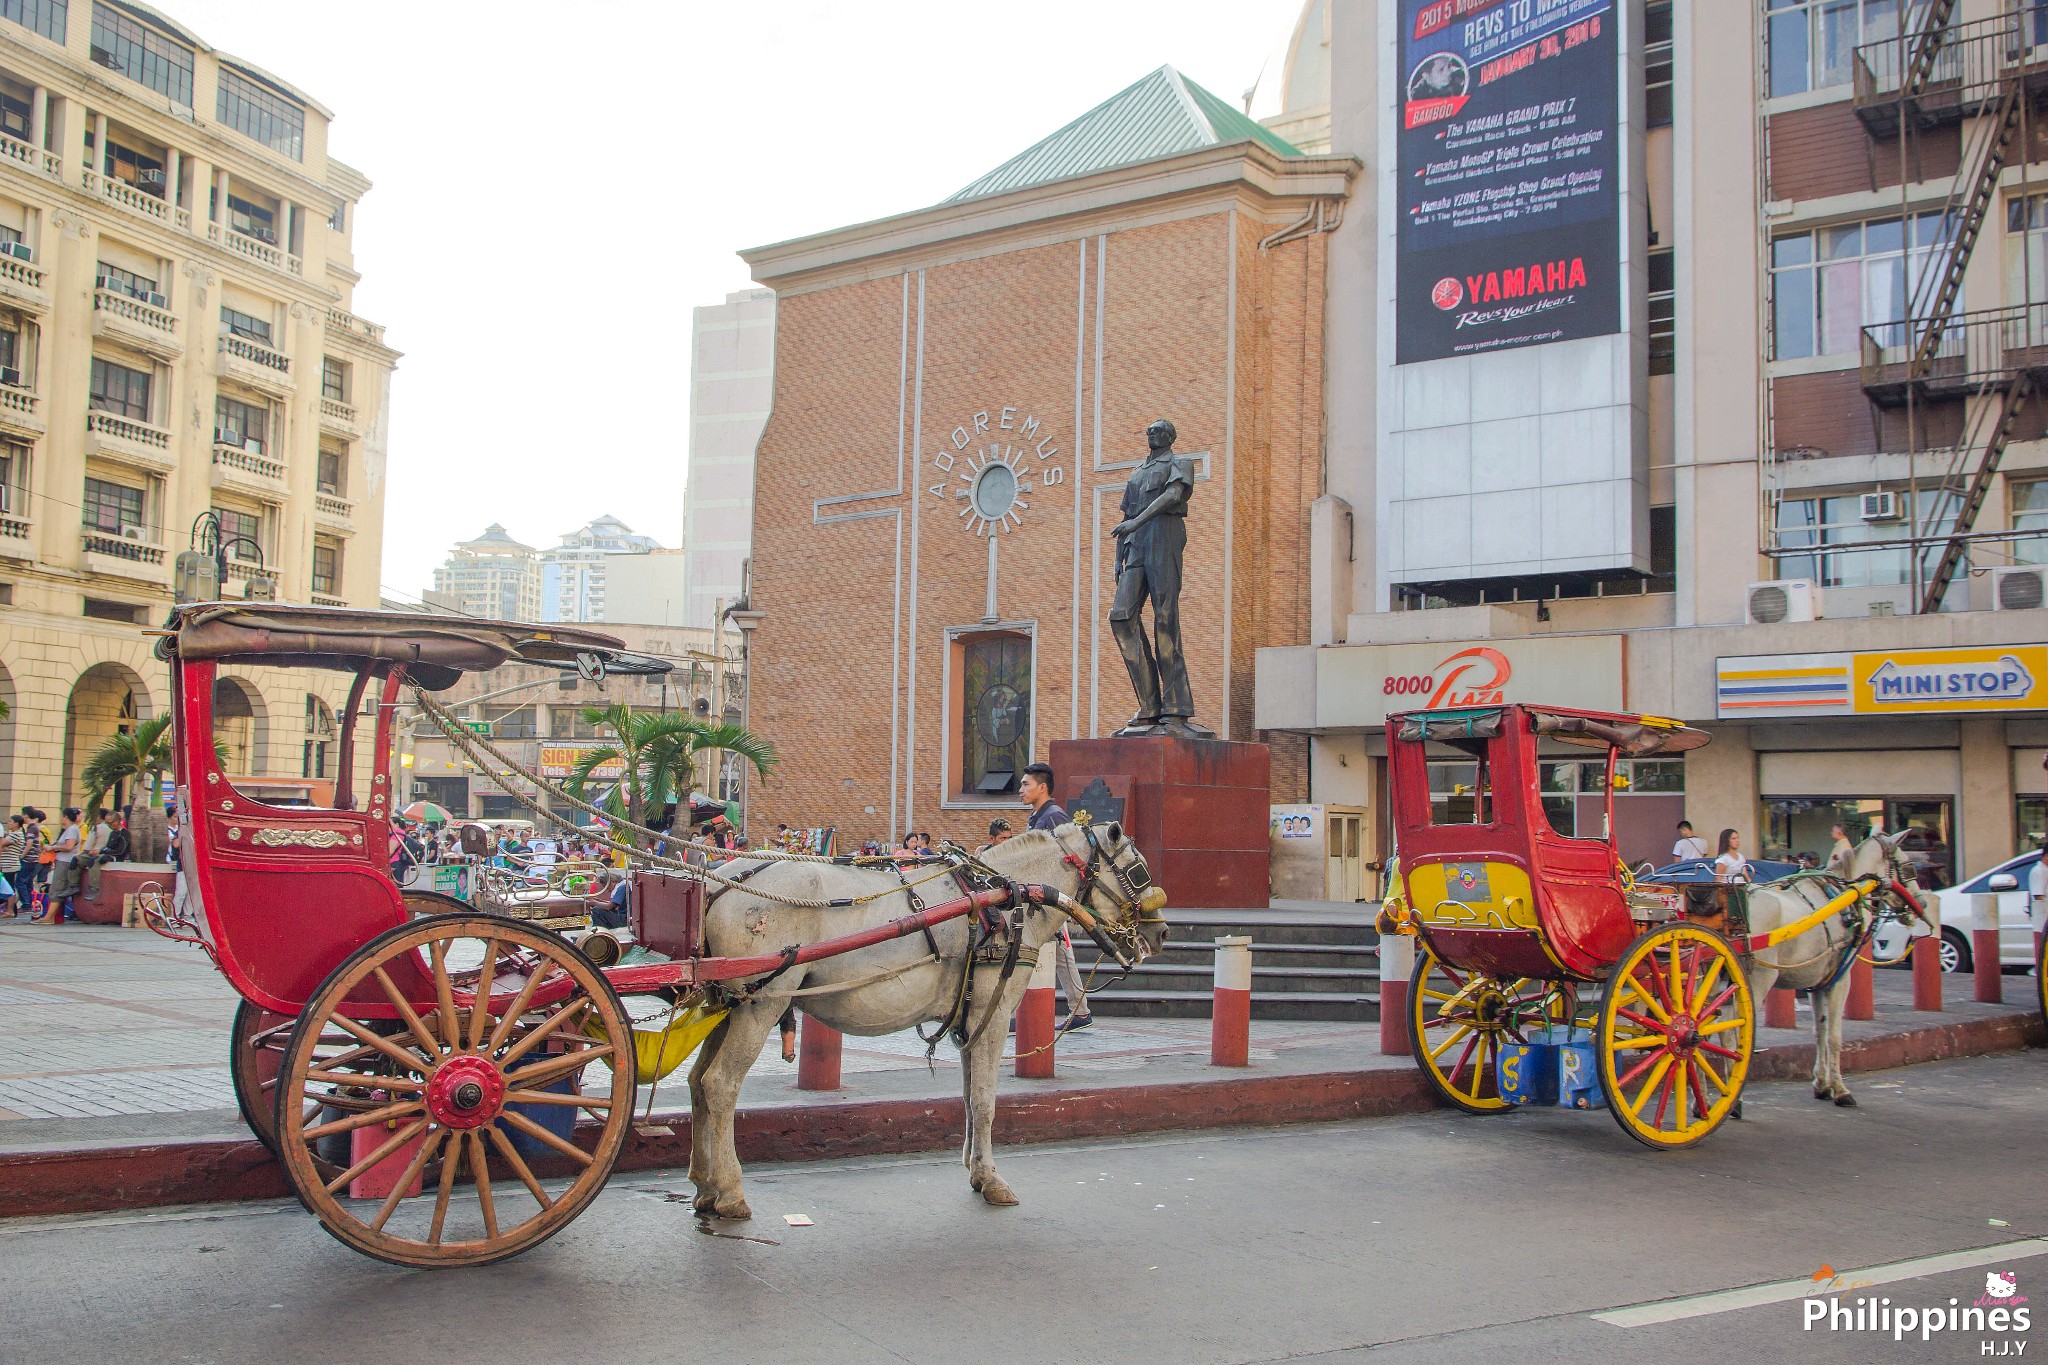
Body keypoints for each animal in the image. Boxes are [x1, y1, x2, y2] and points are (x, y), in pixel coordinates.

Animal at [688, 822, 1163, 1219]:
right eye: (1138, 871)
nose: (1160, 933)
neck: (1005, 897)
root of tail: (720, 882)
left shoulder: (970, 1018)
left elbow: (970, 1098)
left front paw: (977, 1171)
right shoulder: (992, 1012)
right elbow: (986, 1102)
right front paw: (993, 1180)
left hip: (727, 1004)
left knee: (697, 1081)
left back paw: (704, 1186)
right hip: (759, 1003)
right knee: (721, 1084)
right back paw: (730, 1192)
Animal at [1736, 834, 1925, 1113]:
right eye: (1909, 867)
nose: (1921, 903)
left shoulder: (1818, 983)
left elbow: (1820, 1032)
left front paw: (1821, 1084)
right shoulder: (1840, 979)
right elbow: (1835, 1036)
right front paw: (1841, 1090)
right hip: (1757, 981)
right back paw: (1733, 1101)